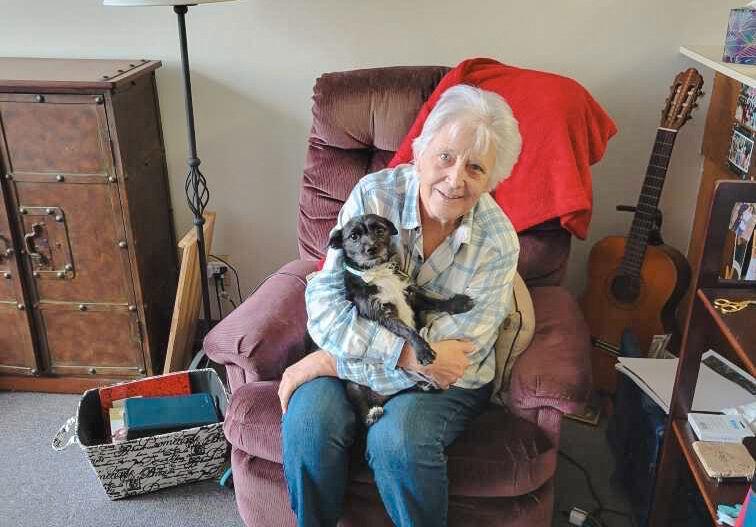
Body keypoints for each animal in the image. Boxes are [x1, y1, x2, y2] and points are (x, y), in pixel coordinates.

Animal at [306, 216, 472, 428]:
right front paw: (423, 350)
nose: (371, 248)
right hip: (353, 387)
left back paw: (426, 386)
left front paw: (457, 304)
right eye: (353, 236)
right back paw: (372, 414)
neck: (377, 271)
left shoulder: (411, 295)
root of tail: (382, 398)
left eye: (379, 230)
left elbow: (435, 301)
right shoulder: (381, 313)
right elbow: (407, 330)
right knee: (363, 412)